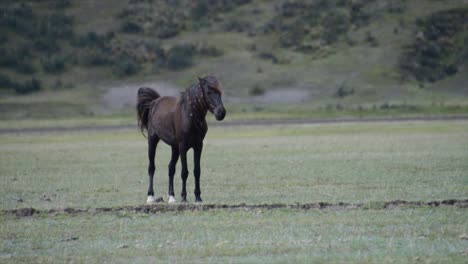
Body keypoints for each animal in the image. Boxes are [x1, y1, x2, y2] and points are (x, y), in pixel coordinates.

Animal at [136, 76, 226, 204]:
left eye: (220, 92)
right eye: (208, 92)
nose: (221, 113)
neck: (189, 116)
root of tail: (154, 102)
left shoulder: (198, 146)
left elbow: (196, 171)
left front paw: (198, 198)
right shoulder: (183, 146)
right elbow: (184, 172)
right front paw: (184, 197)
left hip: (175, 148)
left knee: (171, 168)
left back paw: (172, 197)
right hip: (153, 141)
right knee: (151, 167)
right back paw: (150, 197)